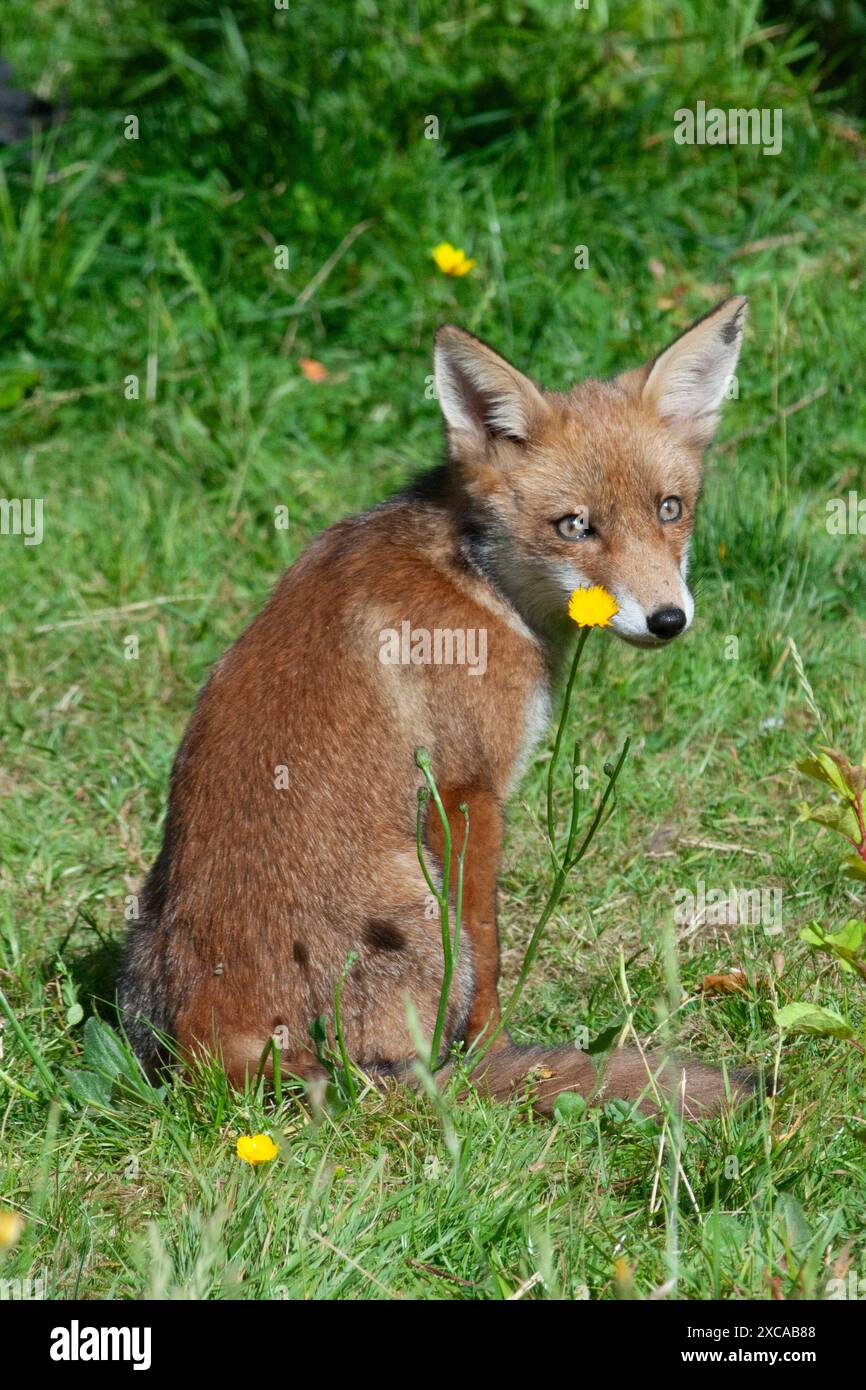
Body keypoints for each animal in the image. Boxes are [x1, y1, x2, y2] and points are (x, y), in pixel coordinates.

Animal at [118, 296, 756, 1117]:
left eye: (671, 509)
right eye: (575, 525)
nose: (668, 619)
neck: (479, 578)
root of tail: (213, 1050)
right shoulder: (466, 790)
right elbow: (489, 948)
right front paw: (500, 1049)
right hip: (416, 901)